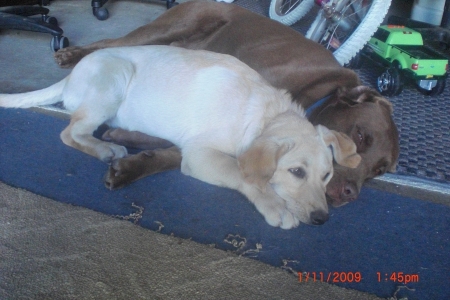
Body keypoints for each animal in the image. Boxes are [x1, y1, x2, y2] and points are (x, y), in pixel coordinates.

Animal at [54, 0, 400, 206]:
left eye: (379, 171)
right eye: (360, 136)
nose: (350, 193)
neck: (317, 95)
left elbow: (180, 150)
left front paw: (135, 160)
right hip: (171, 26)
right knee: (111, 42)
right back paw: (70, 54)